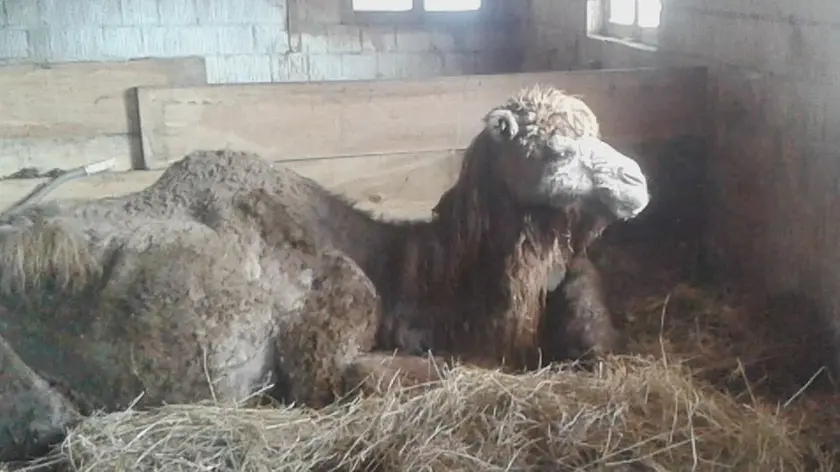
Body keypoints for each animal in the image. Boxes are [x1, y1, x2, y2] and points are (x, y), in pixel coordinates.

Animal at [0, 85, 649, 461]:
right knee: (49, 420)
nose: (638, 182)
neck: (396, 273)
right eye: (557, 149)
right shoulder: (324, 356)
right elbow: (440, 374)